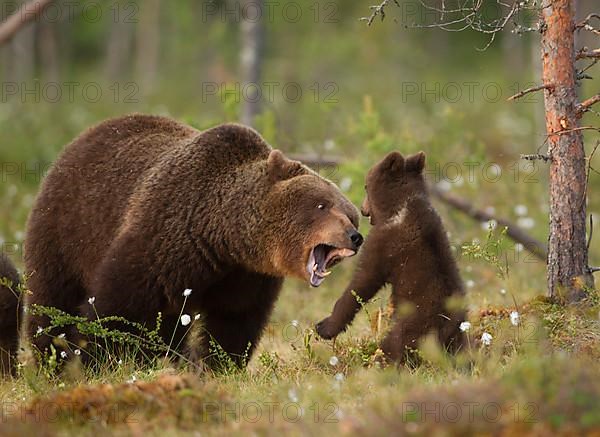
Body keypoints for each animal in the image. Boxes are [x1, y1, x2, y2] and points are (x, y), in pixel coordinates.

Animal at [24, 114, 360, 366]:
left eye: (351, 214)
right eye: (322, 205)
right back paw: (51, 358)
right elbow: (117, 307)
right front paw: (93, 358)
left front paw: (218, 364)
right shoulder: (163, 238)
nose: (356, 236)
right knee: (52, 298)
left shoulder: (246, 276)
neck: (222, 237)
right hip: (66, 230)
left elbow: (235, 321)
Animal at [316, 150, 466, 362]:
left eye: (366, 185)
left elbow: (363, 280)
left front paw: (324, 326)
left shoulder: (384, 242)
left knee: (393, 346)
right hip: (455, 336)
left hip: (413, 326)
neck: (401, 206)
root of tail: (447, 326)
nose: (363, 209)